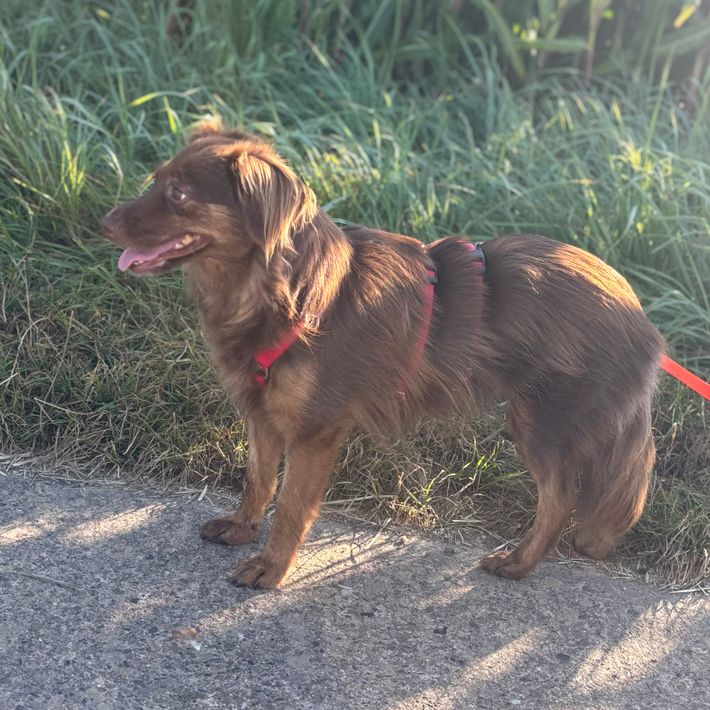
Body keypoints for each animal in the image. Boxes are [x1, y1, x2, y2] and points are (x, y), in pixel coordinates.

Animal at [101, 122, 665, 589]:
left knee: (560, 498)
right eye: (155, 180)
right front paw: (243, 528)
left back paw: (518, 564)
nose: (103, 222)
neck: (283, 291)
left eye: (178, 194)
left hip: (542, 422)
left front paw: (271, 568)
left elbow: (291, 506)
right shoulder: (261, 412)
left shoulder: (315, 433)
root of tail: (640, 315)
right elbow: (258, 478)